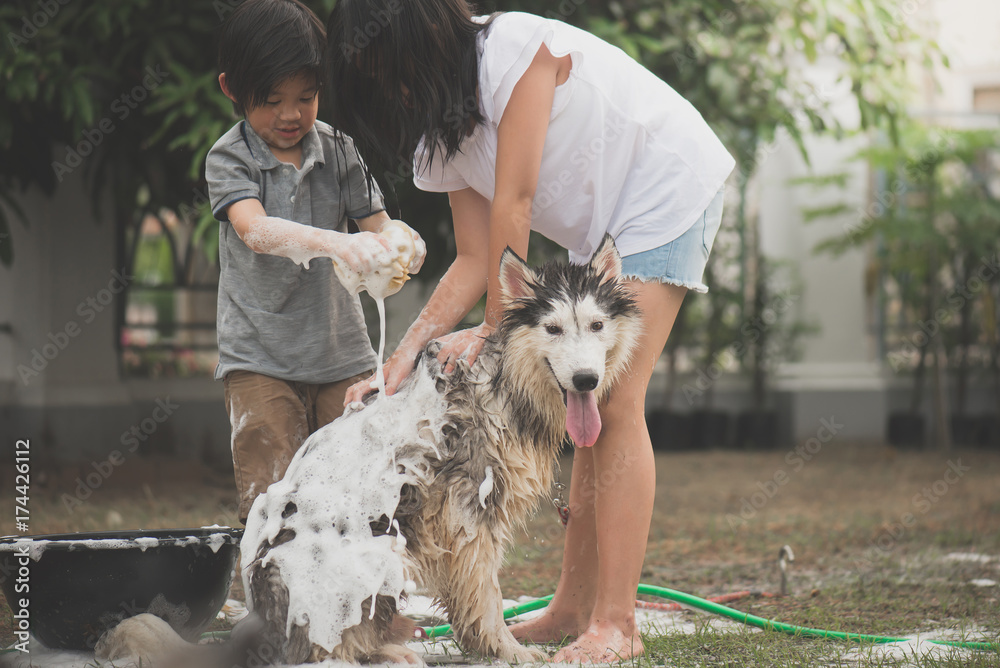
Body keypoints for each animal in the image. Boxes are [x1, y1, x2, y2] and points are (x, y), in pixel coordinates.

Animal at [242, 235, 640, 664]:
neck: (504, 381)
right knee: (324, 648)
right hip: (378, 552)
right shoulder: (468, 509)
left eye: (597, 325)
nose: (586, 380)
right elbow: (486, 592)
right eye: (553, 329)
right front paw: (505, 647)